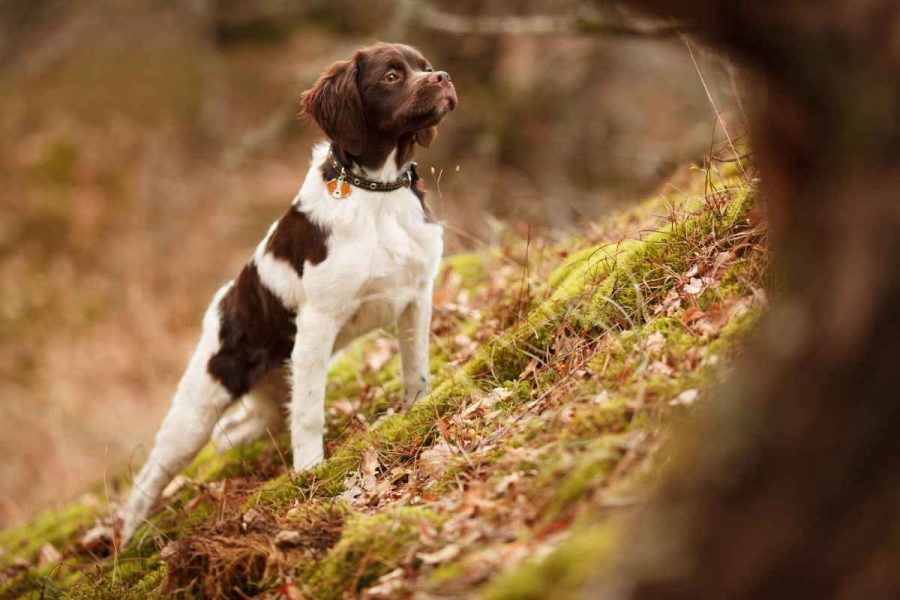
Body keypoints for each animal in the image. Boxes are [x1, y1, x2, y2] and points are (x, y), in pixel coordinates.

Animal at [119, 39, 458, 540]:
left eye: (426, 66)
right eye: (392, 76)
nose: (444, 78)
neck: (377, 192)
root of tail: (219, 305)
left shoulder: (416, 294)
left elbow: (415, 367)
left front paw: (418, 408)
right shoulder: (317, 323)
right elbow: (311, 411)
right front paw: (310, 471)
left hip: (270, 388)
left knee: (241, 429)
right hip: (200, 404)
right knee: (152, 472)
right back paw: (129, 536)